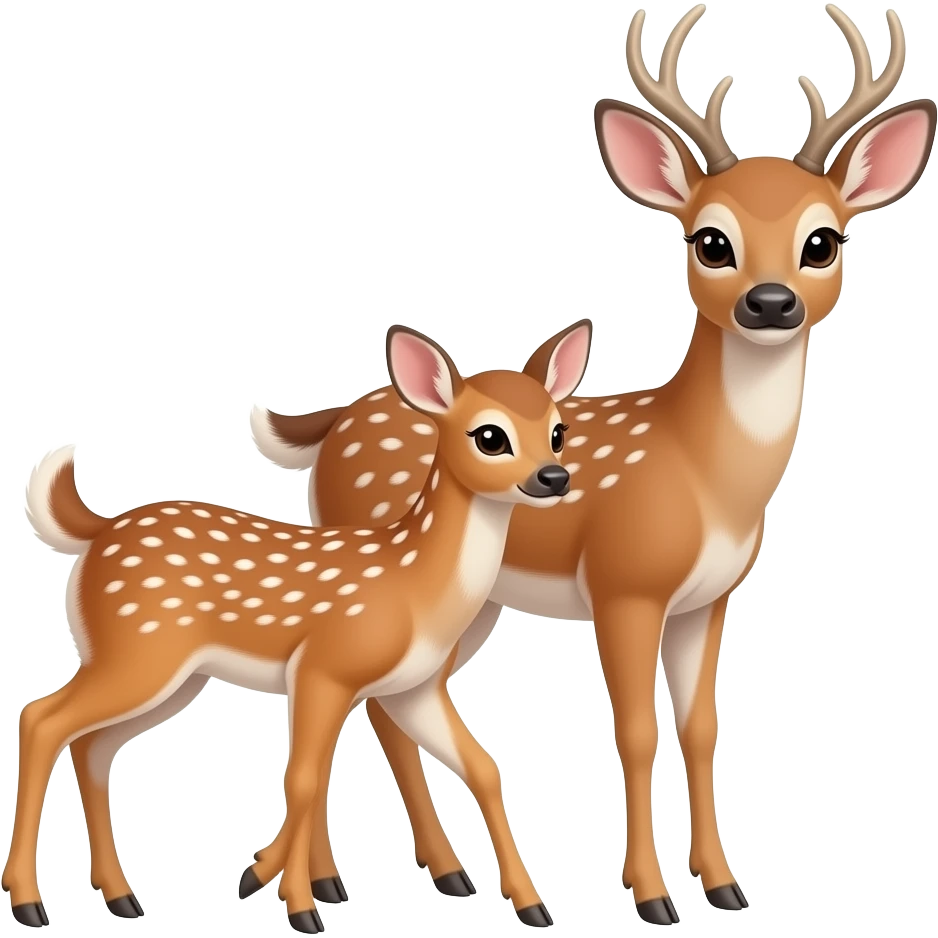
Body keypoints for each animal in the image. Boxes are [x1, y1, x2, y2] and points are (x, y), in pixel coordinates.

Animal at [3, 322, 594, 933]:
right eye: (490, 436)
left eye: (558, 431)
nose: (554, 477)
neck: (413, 586)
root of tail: (96, 535)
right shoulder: (323, 667)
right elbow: (304, 778)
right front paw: (293, 900)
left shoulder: (411, 690)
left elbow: (482, 766)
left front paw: (533, 905)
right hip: (137, 650)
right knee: (41, 718)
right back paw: (28, 901)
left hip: (174, 678)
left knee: (92, 745)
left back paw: (121, 896)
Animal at [241, 3, 936, 927]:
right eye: (710, 240)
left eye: (823, 240)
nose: (771, 302)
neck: (705, 476)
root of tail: (333, 423)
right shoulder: (624, 583)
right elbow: (637, 733)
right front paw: (652, 896)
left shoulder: (708, 600)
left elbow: (703, 730)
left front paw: (724, 884)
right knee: (349, 699)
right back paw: (337, 883)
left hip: (469, 607)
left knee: (379, 703)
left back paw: (424, 875)